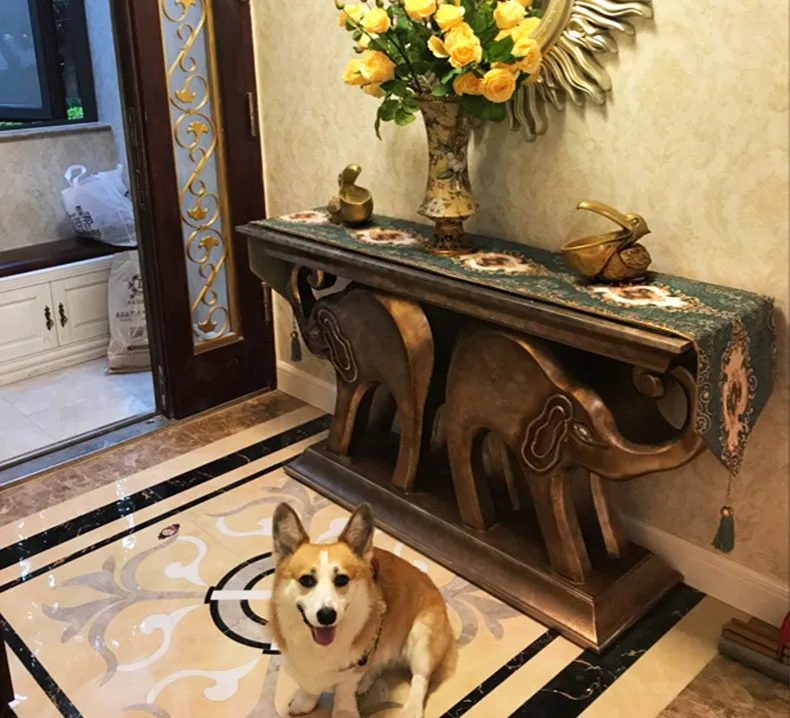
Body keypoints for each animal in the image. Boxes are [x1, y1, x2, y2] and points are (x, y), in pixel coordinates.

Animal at [445, 328, 705, 584]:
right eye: (583, 433)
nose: (669, 371)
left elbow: (596, 487)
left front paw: (614, 554)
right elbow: (550, 497)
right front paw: (575, 576)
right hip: (462, 405)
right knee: (463, 447)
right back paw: (480, 525)